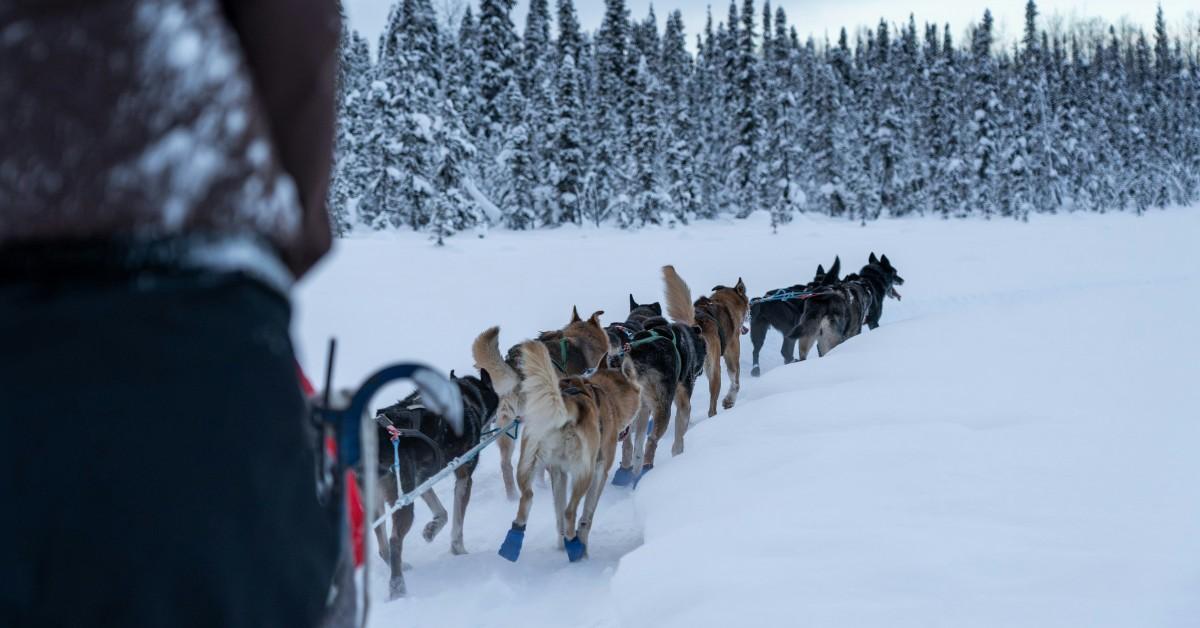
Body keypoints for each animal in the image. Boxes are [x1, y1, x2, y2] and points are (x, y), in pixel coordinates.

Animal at [367, 372, 494, 602]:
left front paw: (431, 530)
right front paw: (460, 552)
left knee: (382, 545)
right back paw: (397, 587)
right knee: (394, 541)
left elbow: (442, 513)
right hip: (404, 501)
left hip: (380, 501)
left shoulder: (423, 479)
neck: (466, 395)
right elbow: (457, 524)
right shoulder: (464, 477)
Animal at [494, 341, 643, 561]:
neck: (606, 394)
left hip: (528, 465)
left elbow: (558, 515)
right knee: (570, 512)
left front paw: (561, 545)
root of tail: (567, 406)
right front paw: (579, 545)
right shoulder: (599, 471)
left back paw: (512, 544)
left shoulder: (559, 472)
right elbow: (586, 515)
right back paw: (575, 548)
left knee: (527, 498)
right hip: (584, 474)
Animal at [662, 265, 744, 417]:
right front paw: (729, 401)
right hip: (714, 370)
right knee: (712, 406)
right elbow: (735, 380)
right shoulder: (732, 351)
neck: (723, 303)